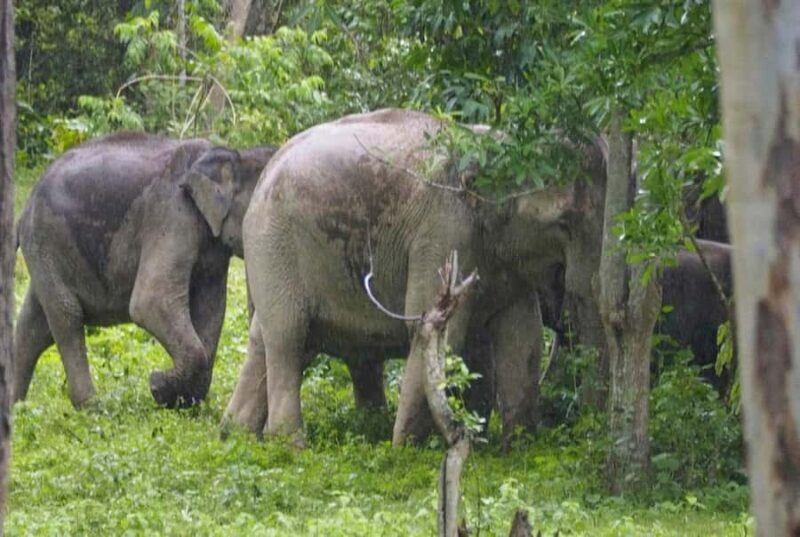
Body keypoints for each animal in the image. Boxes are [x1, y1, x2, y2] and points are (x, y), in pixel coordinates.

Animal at [14, 131, 276, 408]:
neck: (233, 155)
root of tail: (25, 209)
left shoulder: (211, 245)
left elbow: (211, 310)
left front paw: (180, 400)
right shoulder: (172, 215)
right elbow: (150, 302)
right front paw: (158, 385)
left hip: (44, 250)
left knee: (35, 325)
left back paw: (16, 405)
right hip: (45, 237)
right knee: (67, 314)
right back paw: (92, 406)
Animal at [223, 108, 606, 445]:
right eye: (564, 224)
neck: (494, 142)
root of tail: (265, 175)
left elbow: (523, 337)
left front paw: (519, 447)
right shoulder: (444, 230)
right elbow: (435, 330)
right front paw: (406, 450)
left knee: (268, 338)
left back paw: (237, 435)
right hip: (274, 243)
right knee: (288, 336)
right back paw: (289, 443)